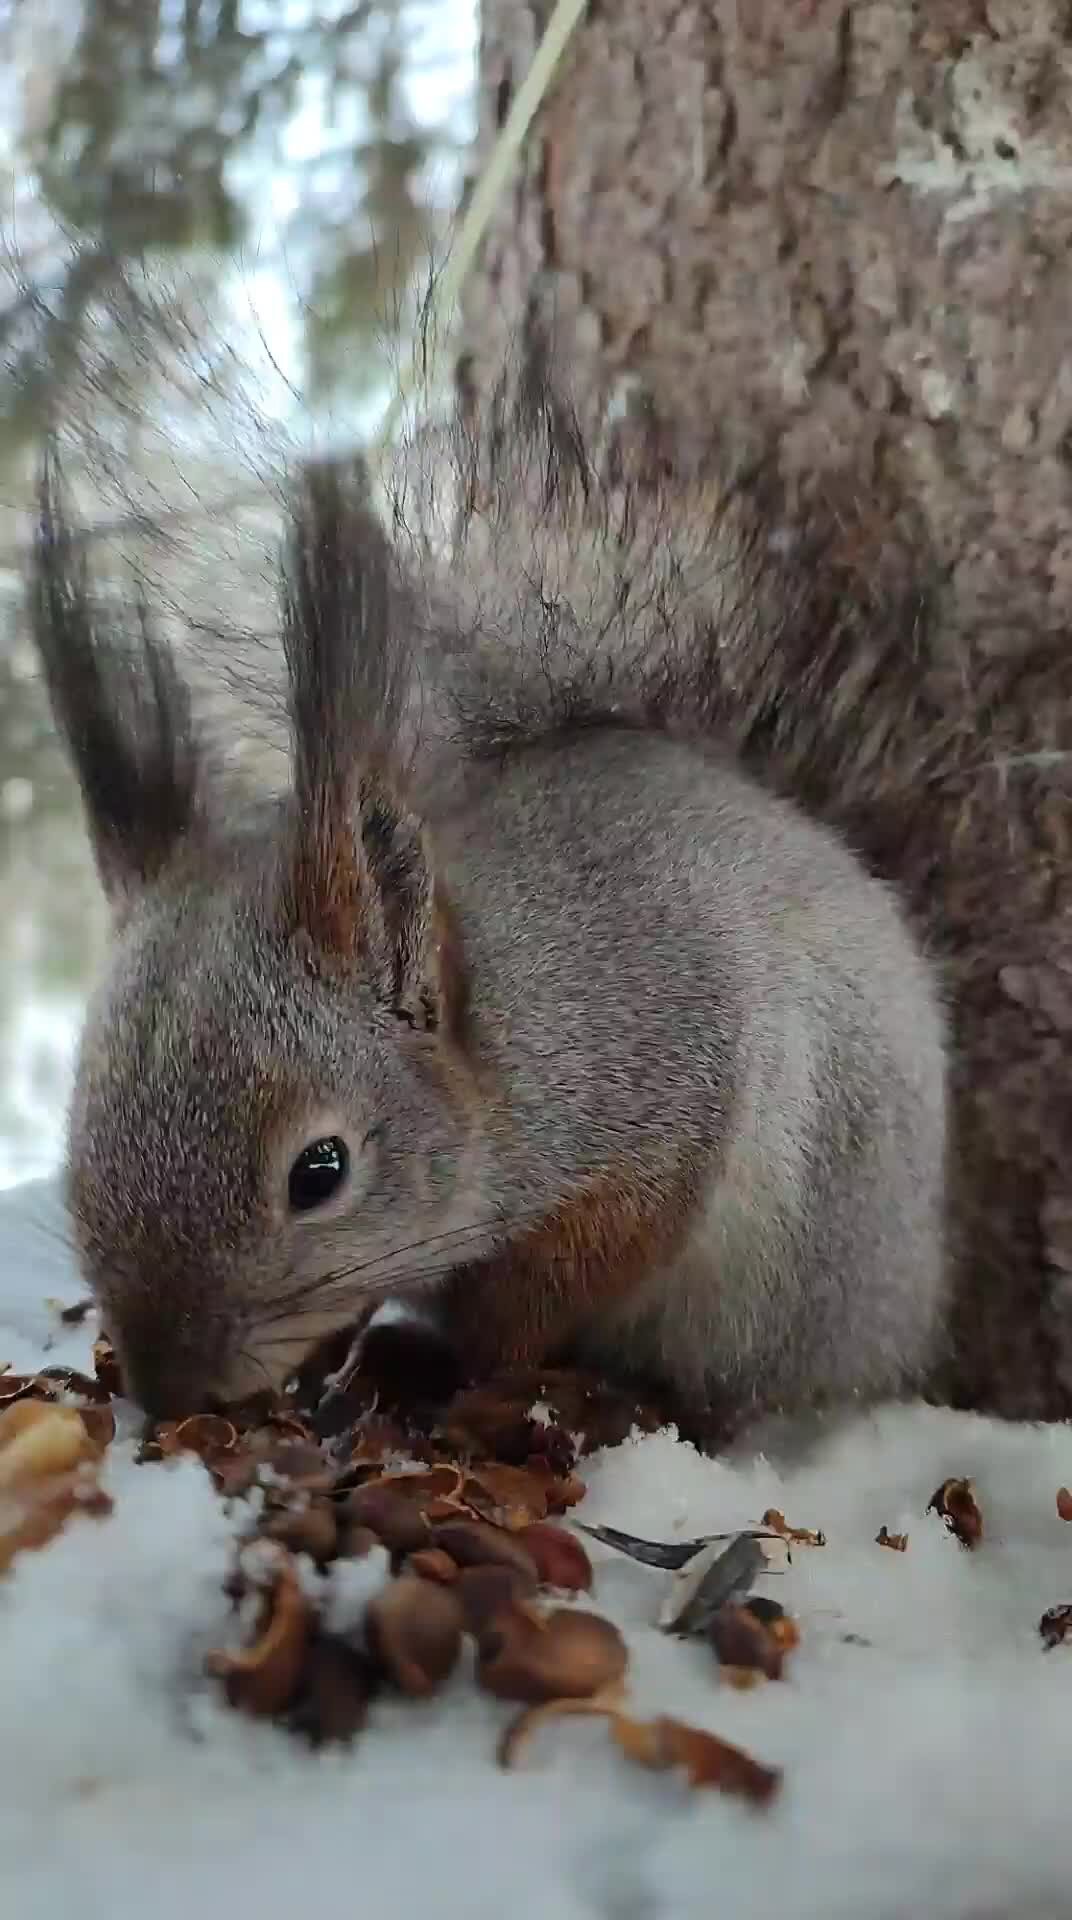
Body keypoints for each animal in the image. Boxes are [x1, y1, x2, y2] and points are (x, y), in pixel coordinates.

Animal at [23, 366, 949, 1436]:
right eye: (78, 1139)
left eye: (320, 1173)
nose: (166, 1389)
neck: (502, 1036)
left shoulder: (655, 1106)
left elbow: (557, 1282)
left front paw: (454, 1364)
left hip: (804, 1283)